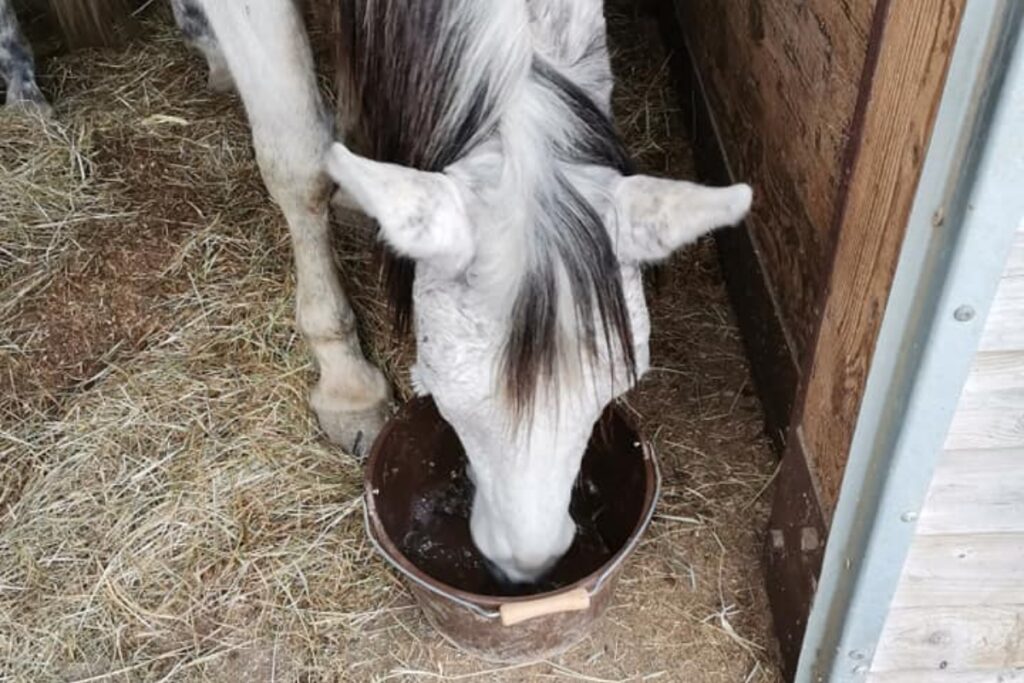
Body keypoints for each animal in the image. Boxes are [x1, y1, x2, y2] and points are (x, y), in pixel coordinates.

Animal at [2, 0, 753, 585]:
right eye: (442, 396)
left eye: (615, 388)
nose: (527, 569)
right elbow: (301, 161)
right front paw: (346, 378)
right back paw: (27, 100)